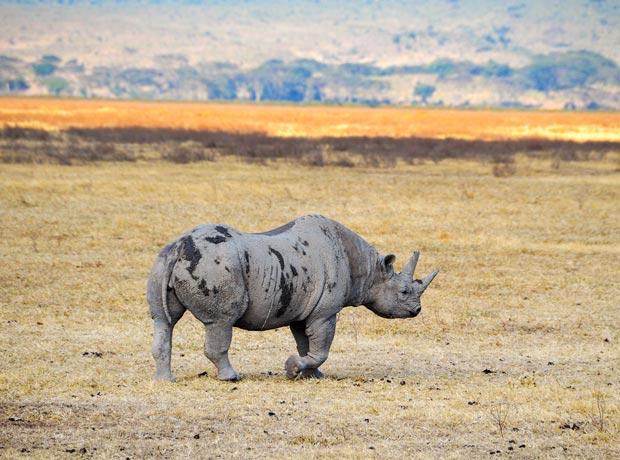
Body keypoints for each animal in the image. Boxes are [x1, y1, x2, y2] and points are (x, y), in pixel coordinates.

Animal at [146, 216, 438, 380]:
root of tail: (180, 247)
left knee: (163, 321)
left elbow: (305, 343)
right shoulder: (325, 311)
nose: (417, 310)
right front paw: (292, 370)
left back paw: (165, 380)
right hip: (215, 264)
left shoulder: (303, 309)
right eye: (404, 292)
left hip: (162, 260)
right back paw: (231, 378)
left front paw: (312, 375)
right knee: (220, 321)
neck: (369, 270)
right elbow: (321, 347)